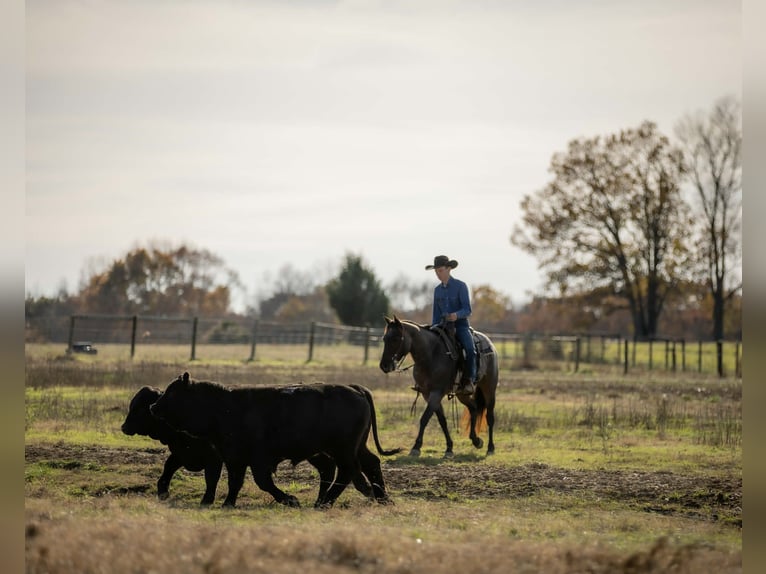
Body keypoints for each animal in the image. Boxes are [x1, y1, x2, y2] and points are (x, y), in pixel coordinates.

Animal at [379, 315, 499, 458]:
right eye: (384, 339)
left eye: (396, 339)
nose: (384, 366)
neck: (431, 354)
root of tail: (490, 344)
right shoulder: (426, 393)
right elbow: (442, 420)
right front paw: (449, 448)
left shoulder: (436, 393)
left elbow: (424, 418)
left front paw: (416, 447)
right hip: (462, 394)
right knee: (473, 408)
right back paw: (476, 440)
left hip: (489, 389)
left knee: (490, 417)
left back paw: (490, 448)